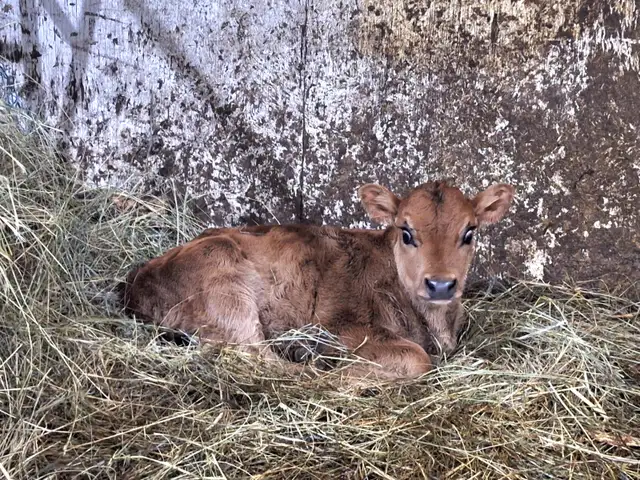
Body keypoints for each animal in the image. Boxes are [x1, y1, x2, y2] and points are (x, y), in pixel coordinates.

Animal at [120, 180, 515, 381]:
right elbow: (416, 358)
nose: (441, 284)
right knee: (261, 361)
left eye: (469, 232)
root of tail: (137, 281)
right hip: (227, 294)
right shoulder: (344, 326)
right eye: (406, 232)